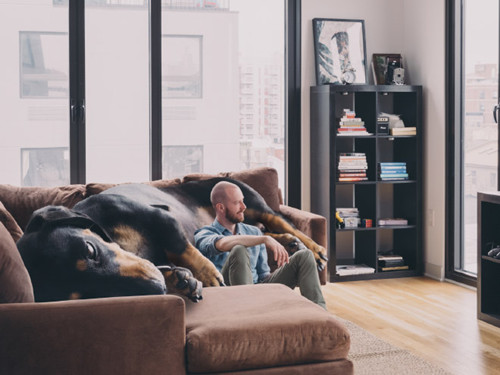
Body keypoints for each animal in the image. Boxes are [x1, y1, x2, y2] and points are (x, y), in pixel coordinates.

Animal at [17, 178, 328, 304]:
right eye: (88, 295)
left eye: (90, 250)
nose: (156, 288)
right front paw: (180, 280)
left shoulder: (159, 217)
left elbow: (182, 247)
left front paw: (207, 276)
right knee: (261, 231)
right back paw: (290, 244)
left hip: (249, 201)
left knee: (279, 220)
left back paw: (313, 248)